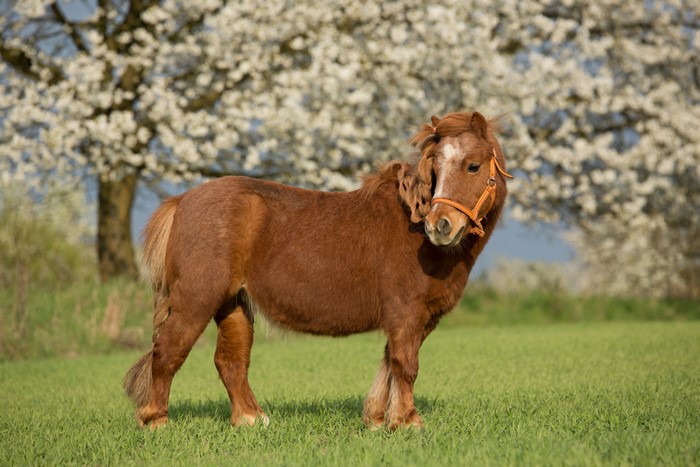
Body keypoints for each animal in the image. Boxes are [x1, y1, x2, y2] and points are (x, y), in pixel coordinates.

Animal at [124, 111, 513, 430]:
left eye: (473, 166)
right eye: (435, 169)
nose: (440, 225)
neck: (412, 226)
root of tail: (182, 201)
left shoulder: (416, 319)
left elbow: (389, 363)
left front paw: (378, 419)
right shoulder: (405, 314)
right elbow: (405, 364)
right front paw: (406, 422)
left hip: (232, 305)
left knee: (230, 362)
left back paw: (251, 419)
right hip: (195, 302)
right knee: (168, 352)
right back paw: (156, 421)